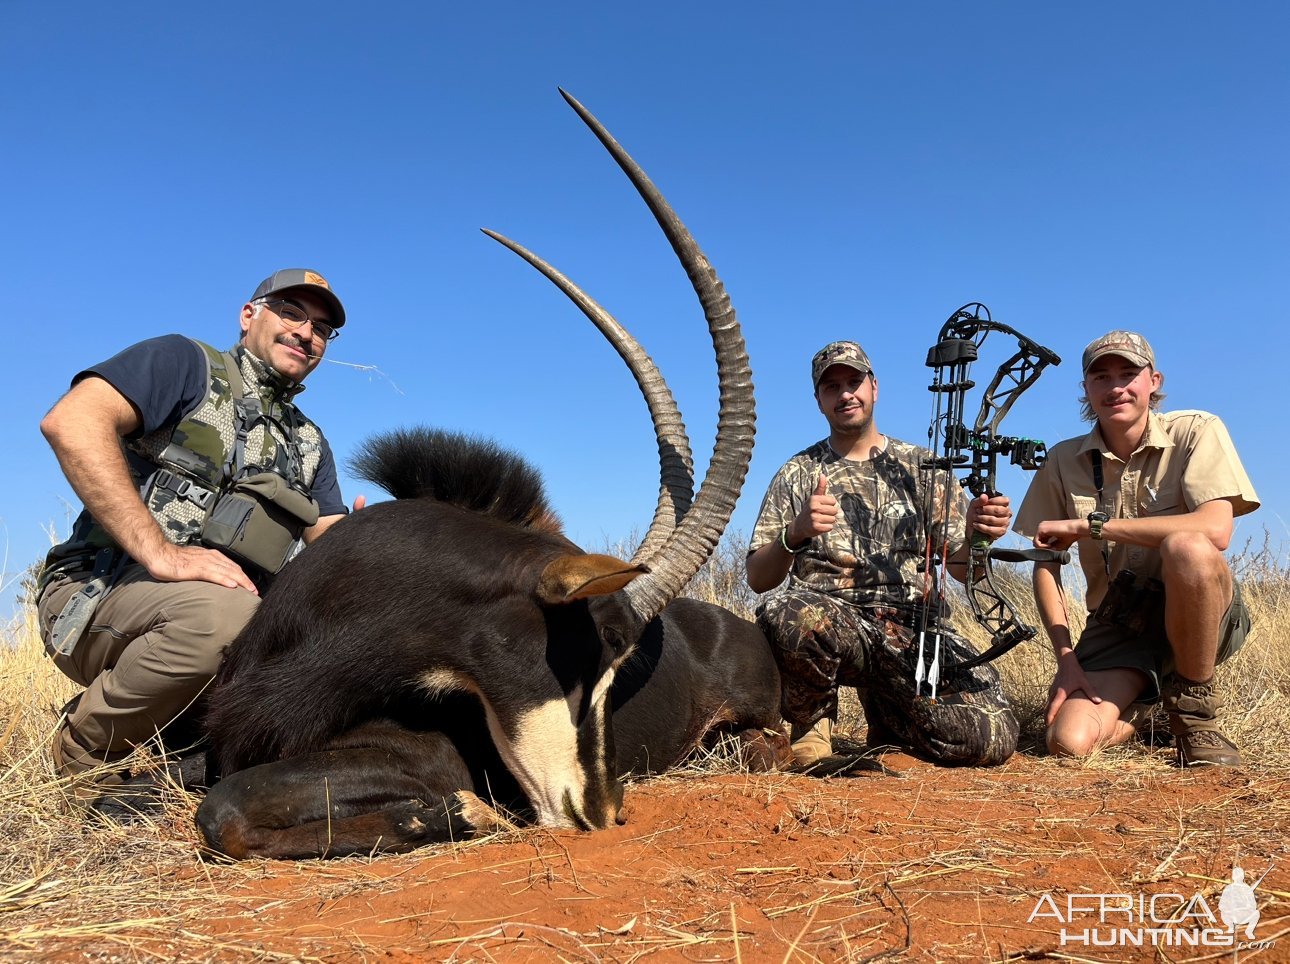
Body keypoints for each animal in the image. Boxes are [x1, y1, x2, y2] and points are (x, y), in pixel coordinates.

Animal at [198, 90, 784, 862]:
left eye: (621, 659)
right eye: (593, 650)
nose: (603, 811)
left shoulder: (424, 756)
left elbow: (224, 809)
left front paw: (465, 814)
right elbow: (210, 803)